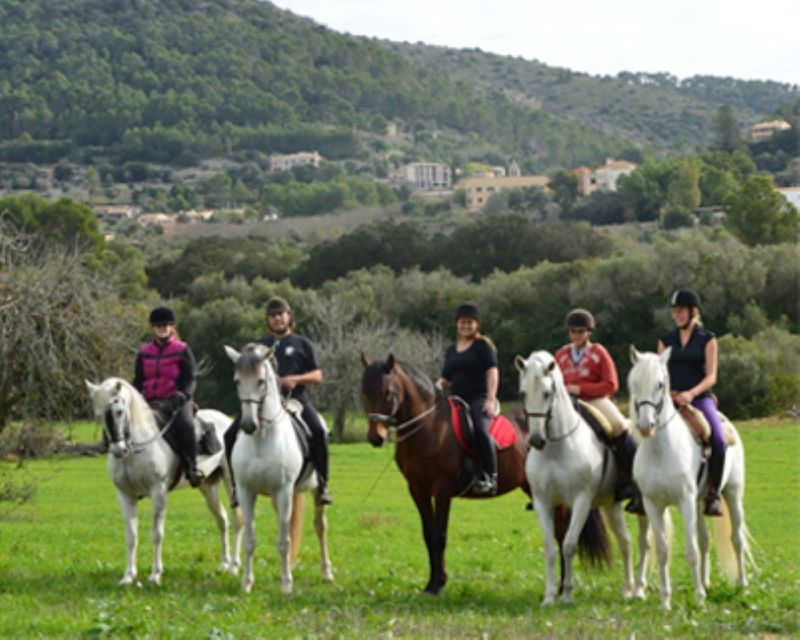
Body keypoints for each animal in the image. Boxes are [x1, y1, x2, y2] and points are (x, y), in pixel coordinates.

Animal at [86, 378, 241, 588]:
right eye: (98, 414)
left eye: (119, 411)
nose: (119, 450)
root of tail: (226, 420)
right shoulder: (125, 496)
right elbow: (131, 537)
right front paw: (128, 576)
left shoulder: (158, 492)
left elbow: (156, 534)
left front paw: (155, 575)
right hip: (207, 487)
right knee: (222, 520)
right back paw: (224, 564)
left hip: (231, 482)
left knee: (237, 520)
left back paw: (234, 567)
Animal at [223, 344, 332, 596]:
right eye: (236, 381)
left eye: (261, 381)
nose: (248, 425)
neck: (261, 439)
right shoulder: (246, 492)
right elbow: (250, 540)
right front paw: (247, 583)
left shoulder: (283, 491)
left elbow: (284, 542)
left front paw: (286, 584)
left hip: (313, 492)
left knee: (320, 528)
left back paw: (326, 573)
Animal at [360, 350, 608, 596]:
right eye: (363, 392)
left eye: (388, 393)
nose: (376, 437)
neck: (428, 427)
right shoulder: (417, 489)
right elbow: (429, 536)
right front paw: (431, 584)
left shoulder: (442, 489)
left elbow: (440, 536)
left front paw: (438, 583)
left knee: (562, 535)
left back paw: (563, 586)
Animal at [512, 350, 648, 604]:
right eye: (523, 393)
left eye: (547, 393)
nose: (535, 440)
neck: (557, 447)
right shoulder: (543, 503)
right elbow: (550, 548)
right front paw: (549, 596)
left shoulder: (581, 501)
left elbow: (568, 545)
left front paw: (566, 594)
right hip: (610, 505)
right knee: (625, 542)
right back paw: (627, 588)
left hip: (645, 505)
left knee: (645, 542)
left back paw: (639, 590)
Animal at [628, 344, 752, 608]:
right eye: (634, 383)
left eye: (660, 384)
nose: (645, 426)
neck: (661, 450)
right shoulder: (653, 504)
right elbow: (663, 551)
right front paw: (666, 601)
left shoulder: (684, 501)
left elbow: (691, 550)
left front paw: (699, 598)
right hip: (700, 501)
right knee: (705, 540)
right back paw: (705, 582)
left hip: (732, 494)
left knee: (736, 539)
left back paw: (742, 585)